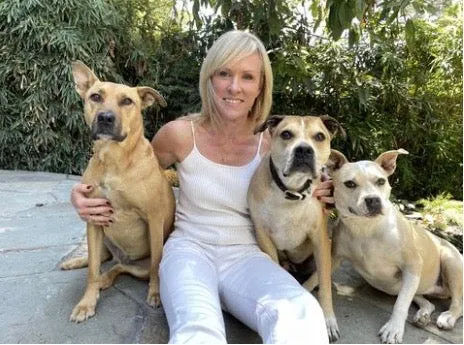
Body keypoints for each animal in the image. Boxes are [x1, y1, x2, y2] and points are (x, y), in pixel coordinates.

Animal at [61, 60, 176, 322]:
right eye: (95, 96)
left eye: (127, 101)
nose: (105, 117)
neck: (113, 159)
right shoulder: (94, 219)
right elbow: (92, 270)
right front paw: (86, 303)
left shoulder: (154, 218)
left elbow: (156, 263)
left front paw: (155, 294)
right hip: (102, 238)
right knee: (103, 260)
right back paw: (79, 264)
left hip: (138, 263)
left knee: (121, 267)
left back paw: (107, 279)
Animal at [246, 115, 344, 338]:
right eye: (286, 134)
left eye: (320, 137)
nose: (304, 150)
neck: (291, 191)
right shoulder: (263, 234)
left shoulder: (319, 240)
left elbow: (324, 286)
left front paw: (329, 320)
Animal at [310, 149, 462, 342]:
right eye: (350, 184)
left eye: (381, 181)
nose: (373, 200)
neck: (367, 228)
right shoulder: (333, 257)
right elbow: (314, 277)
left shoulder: (413, 265)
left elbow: (401, 304)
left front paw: (393, 329)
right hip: (416, 285)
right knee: (426, 301)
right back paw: (423, 315)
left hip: (450, 262)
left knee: (458, 303)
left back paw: (448, 316)